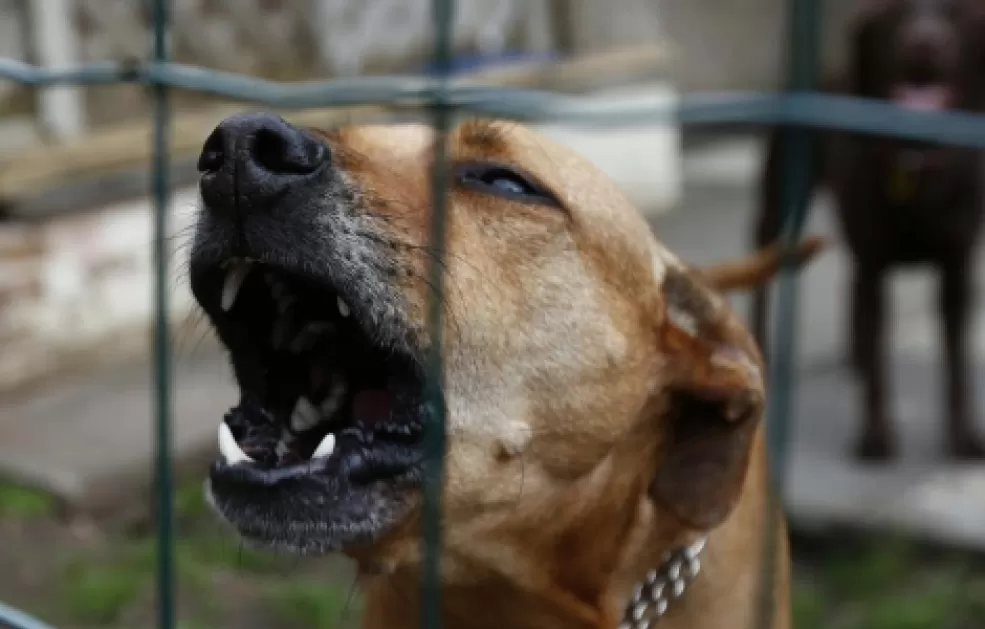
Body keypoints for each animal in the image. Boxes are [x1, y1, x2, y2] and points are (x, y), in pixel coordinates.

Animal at [752, 0, 984, 462]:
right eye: (896, 13)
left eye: (954, 12)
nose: (924, 43)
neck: (915, 165)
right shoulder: (874, 267)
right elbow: (880, 366)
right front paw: (875, 435)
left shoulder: (956, 271)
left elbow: (956, 363)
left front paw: (964, 435)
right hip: (779, 206)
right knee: (763, 273)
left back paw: (853, 358)